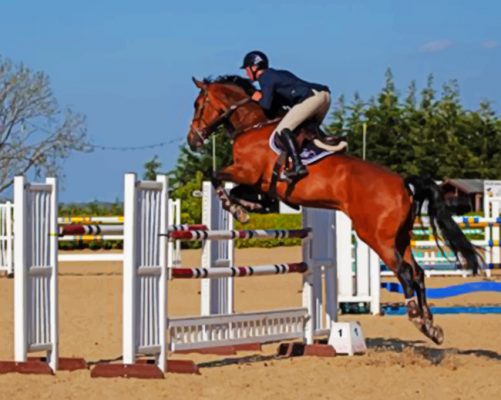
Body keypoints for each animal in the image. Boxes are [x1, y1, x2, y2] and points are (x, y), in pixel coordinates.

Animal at [187, 74, 480, 344]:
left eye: (198, 104)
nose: (193, 140)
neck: (252, 125)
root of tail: (402, 183)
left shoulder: (247, 171)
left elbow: (216, 176)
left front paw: (236, 209)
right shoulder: (258, 182)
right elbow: (241, 191)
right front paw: (248, 206)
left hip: (376, 237)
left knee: (405, 272)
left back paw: (417, 318)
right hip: (400, 237)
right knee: (417, 272)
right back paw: (431, 325)